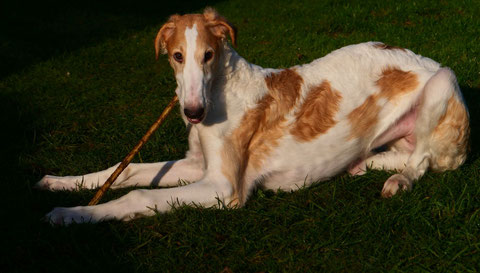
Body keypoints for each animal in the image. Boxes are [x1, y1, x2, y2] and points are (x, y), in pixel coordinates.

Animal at [36, 9, 468, 225]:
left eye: (208, 55)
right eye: (177, 56)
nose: (193, 113)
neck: (220, 93)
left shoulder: (224, 188)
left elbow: (138, 194)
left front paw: (70, 214)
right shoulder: (197, 165)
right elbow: (125, 172)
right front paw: (59, 185)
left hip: (443, 80)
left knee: (422, 162)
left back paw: (398, 181)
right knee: (406, 156)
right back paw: (365, 163)